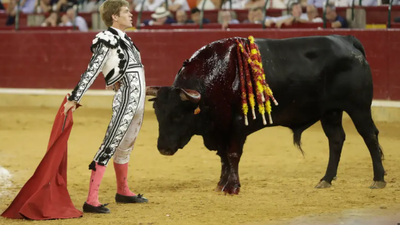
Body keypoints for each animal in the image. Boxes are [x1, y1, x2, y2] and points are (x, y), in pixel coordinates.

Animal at [145, 35, 386, 195]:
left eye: (178, 115)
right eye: (158, 115)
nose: (163, 148)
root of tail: (346, 40)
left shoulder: (237, 126)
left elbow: (232, 155)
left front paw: (232, 187)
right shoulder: (221, 129)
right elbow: (223, 157)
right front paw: (221, 184)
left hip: (358, 107)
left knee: (369, 136)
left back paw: (378, 179)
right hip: (330, 112)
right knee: (336, 139)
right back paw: (325, 180)